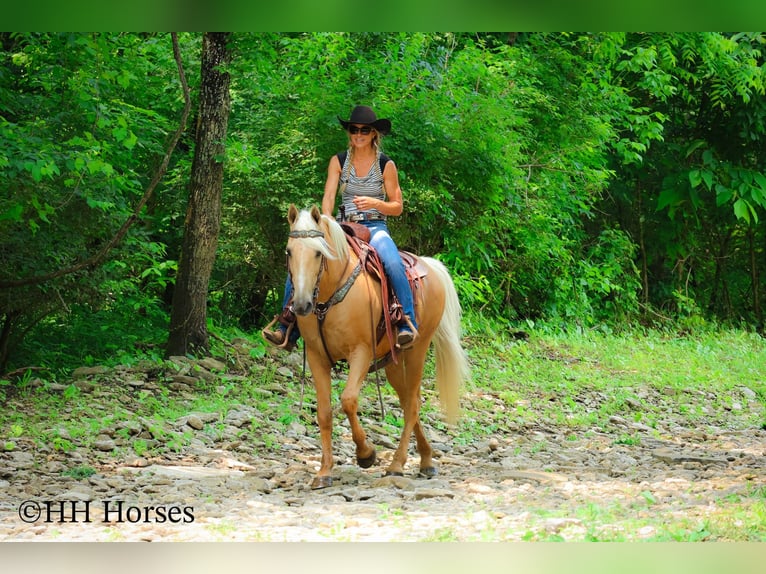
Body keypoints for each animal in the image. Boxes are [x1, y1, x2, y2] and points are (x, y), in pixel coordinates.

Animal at [284, 204, 469, 489]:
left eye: (318, 252)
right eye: (289, 252)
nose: (302, 305)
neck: (329, 296)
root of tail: (432, 266)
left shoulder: (361, 352)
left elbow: (348, 401)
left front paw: (366, 454)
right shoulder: (317, 356)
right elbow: (324, 413)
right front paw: (324, 472)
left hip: (417, 350)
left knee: (412, 405)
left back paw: (397, 465)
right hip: (394, 362)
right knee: (409, 401)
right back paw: (426, 460)